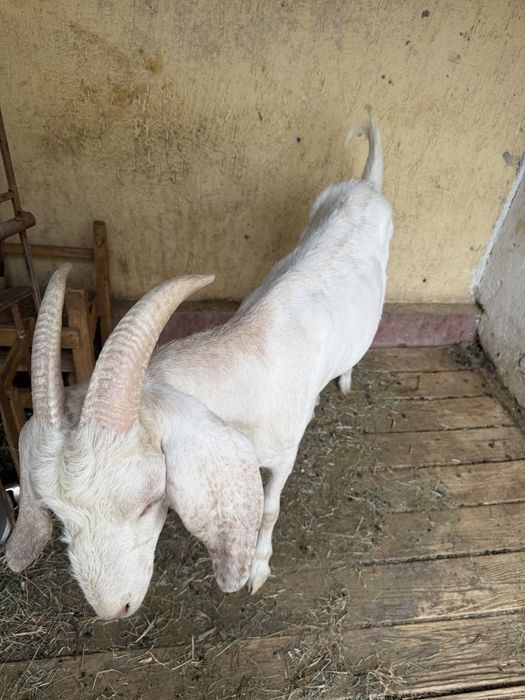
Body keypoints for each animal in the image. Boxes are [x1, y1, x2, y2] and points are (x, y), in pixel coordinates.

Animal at [5, 108, 393, 619]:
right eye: (57, 514)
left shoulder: (287, 448)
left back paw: (345, 378)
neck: (251, 363)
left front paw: (257, 570)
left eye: (149, 501)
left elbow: (270, 509)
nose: (114, 611)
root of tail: (366, 185)